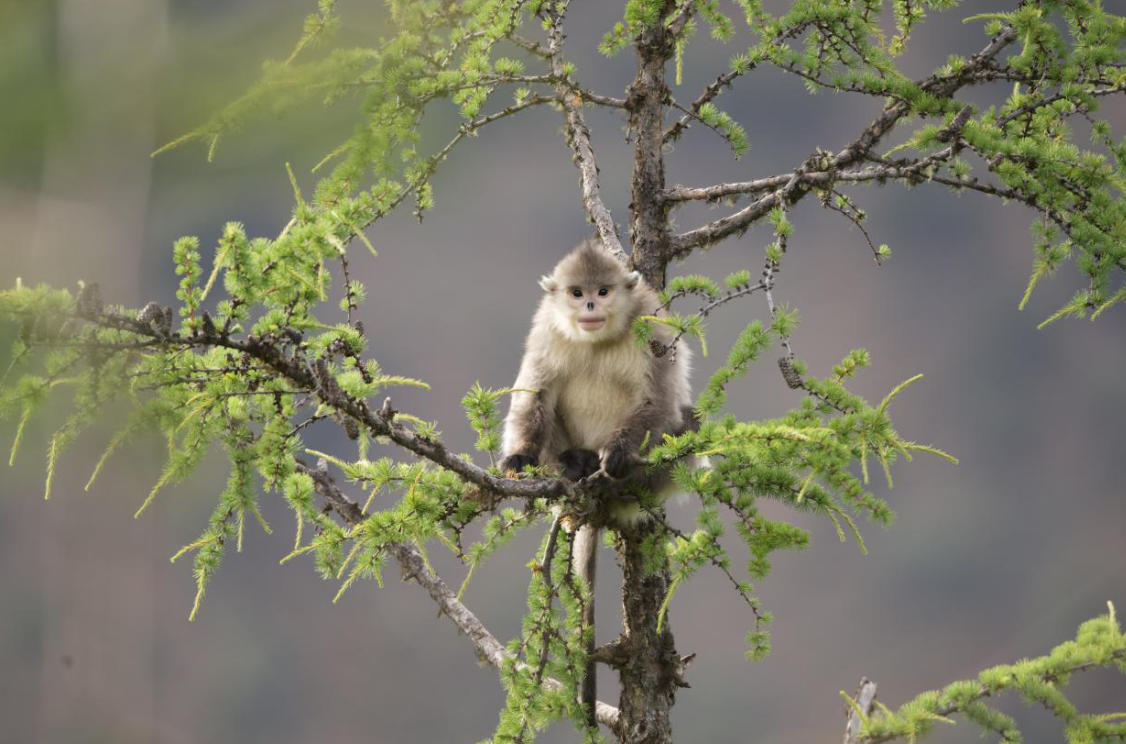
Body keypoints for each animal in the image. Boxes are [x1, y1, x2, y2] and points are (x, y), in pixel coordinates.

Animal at [500, 240, 695, 725]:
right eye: (576, 292)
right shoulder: (545, 330)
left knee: (686, 419)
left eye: (603, 291)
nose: (589, 304)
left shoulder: (651, 326)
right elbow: (534, 395)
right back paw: (575, 465)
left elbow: (658, 401)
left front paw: (618, 454)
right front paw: (521, 456)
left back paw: (612, 477)